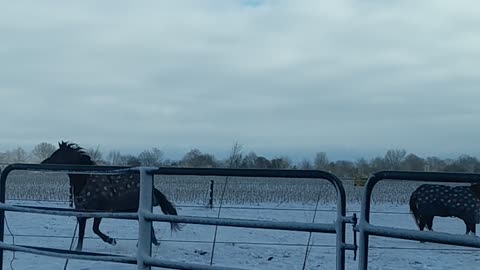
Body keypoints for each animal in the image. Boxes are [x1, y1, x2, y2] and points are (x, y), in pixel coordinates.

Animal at [39, 142, 181, 250]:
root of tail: (153, 188)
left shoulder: (99, 212)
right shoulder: (81, 214)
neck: (84, 180)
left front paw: (112, 240)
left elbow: (95, 229)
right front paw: (78, 250)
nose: (42, 163)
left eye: (56, 154)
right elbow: (81, 234)